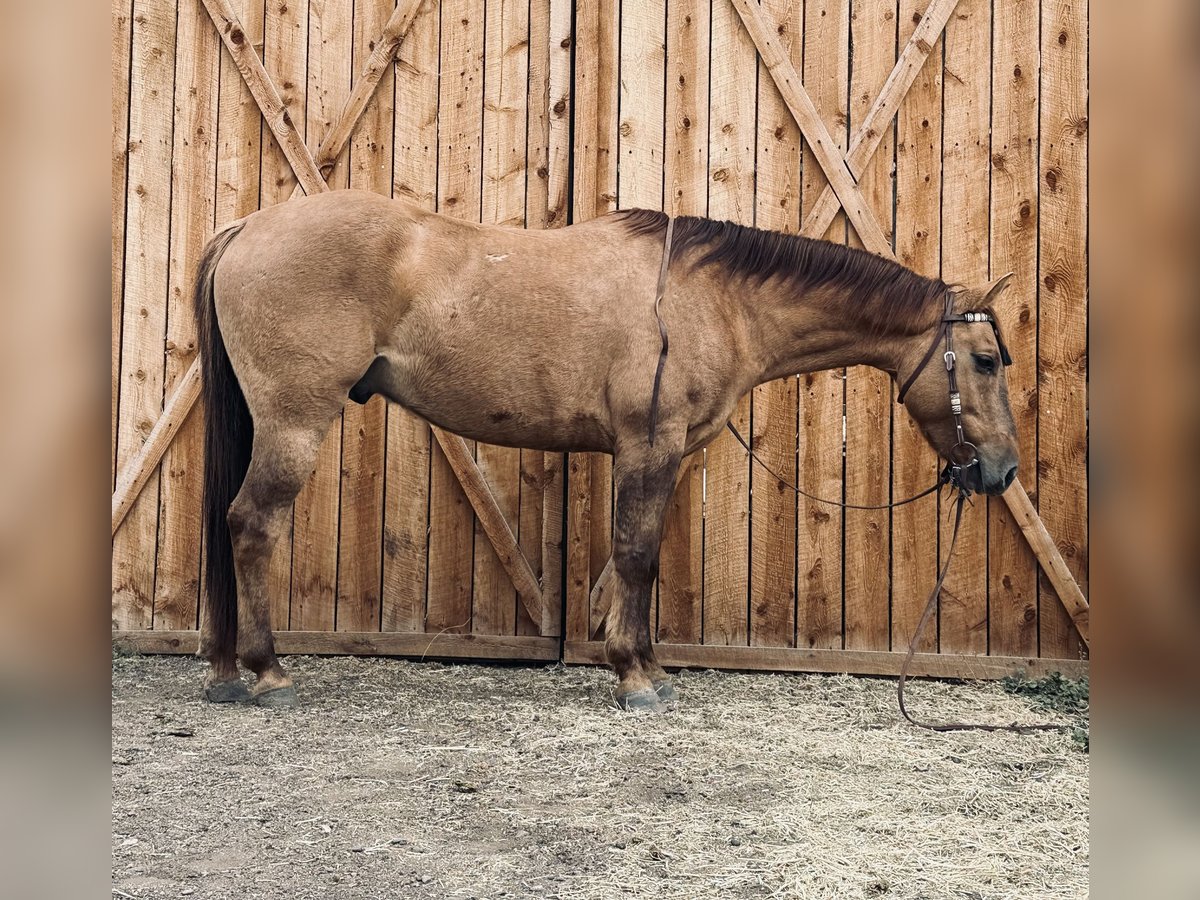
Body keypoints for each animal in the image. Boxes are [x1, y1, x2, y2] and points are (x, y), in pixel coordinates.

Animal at [193, 189, 1019, 710]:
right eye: (984, 360)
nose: (1003, 469)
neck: (711, 299)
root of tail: (248, 228)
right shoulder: (649, 445)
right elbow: (636, 555)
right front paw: (636, 677)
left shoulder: (658, 454)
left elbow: (637, 558)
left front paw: (647, 664)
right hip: (294, 422)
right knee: (252, 525)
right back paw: (267, 673)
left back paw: (229, 672)